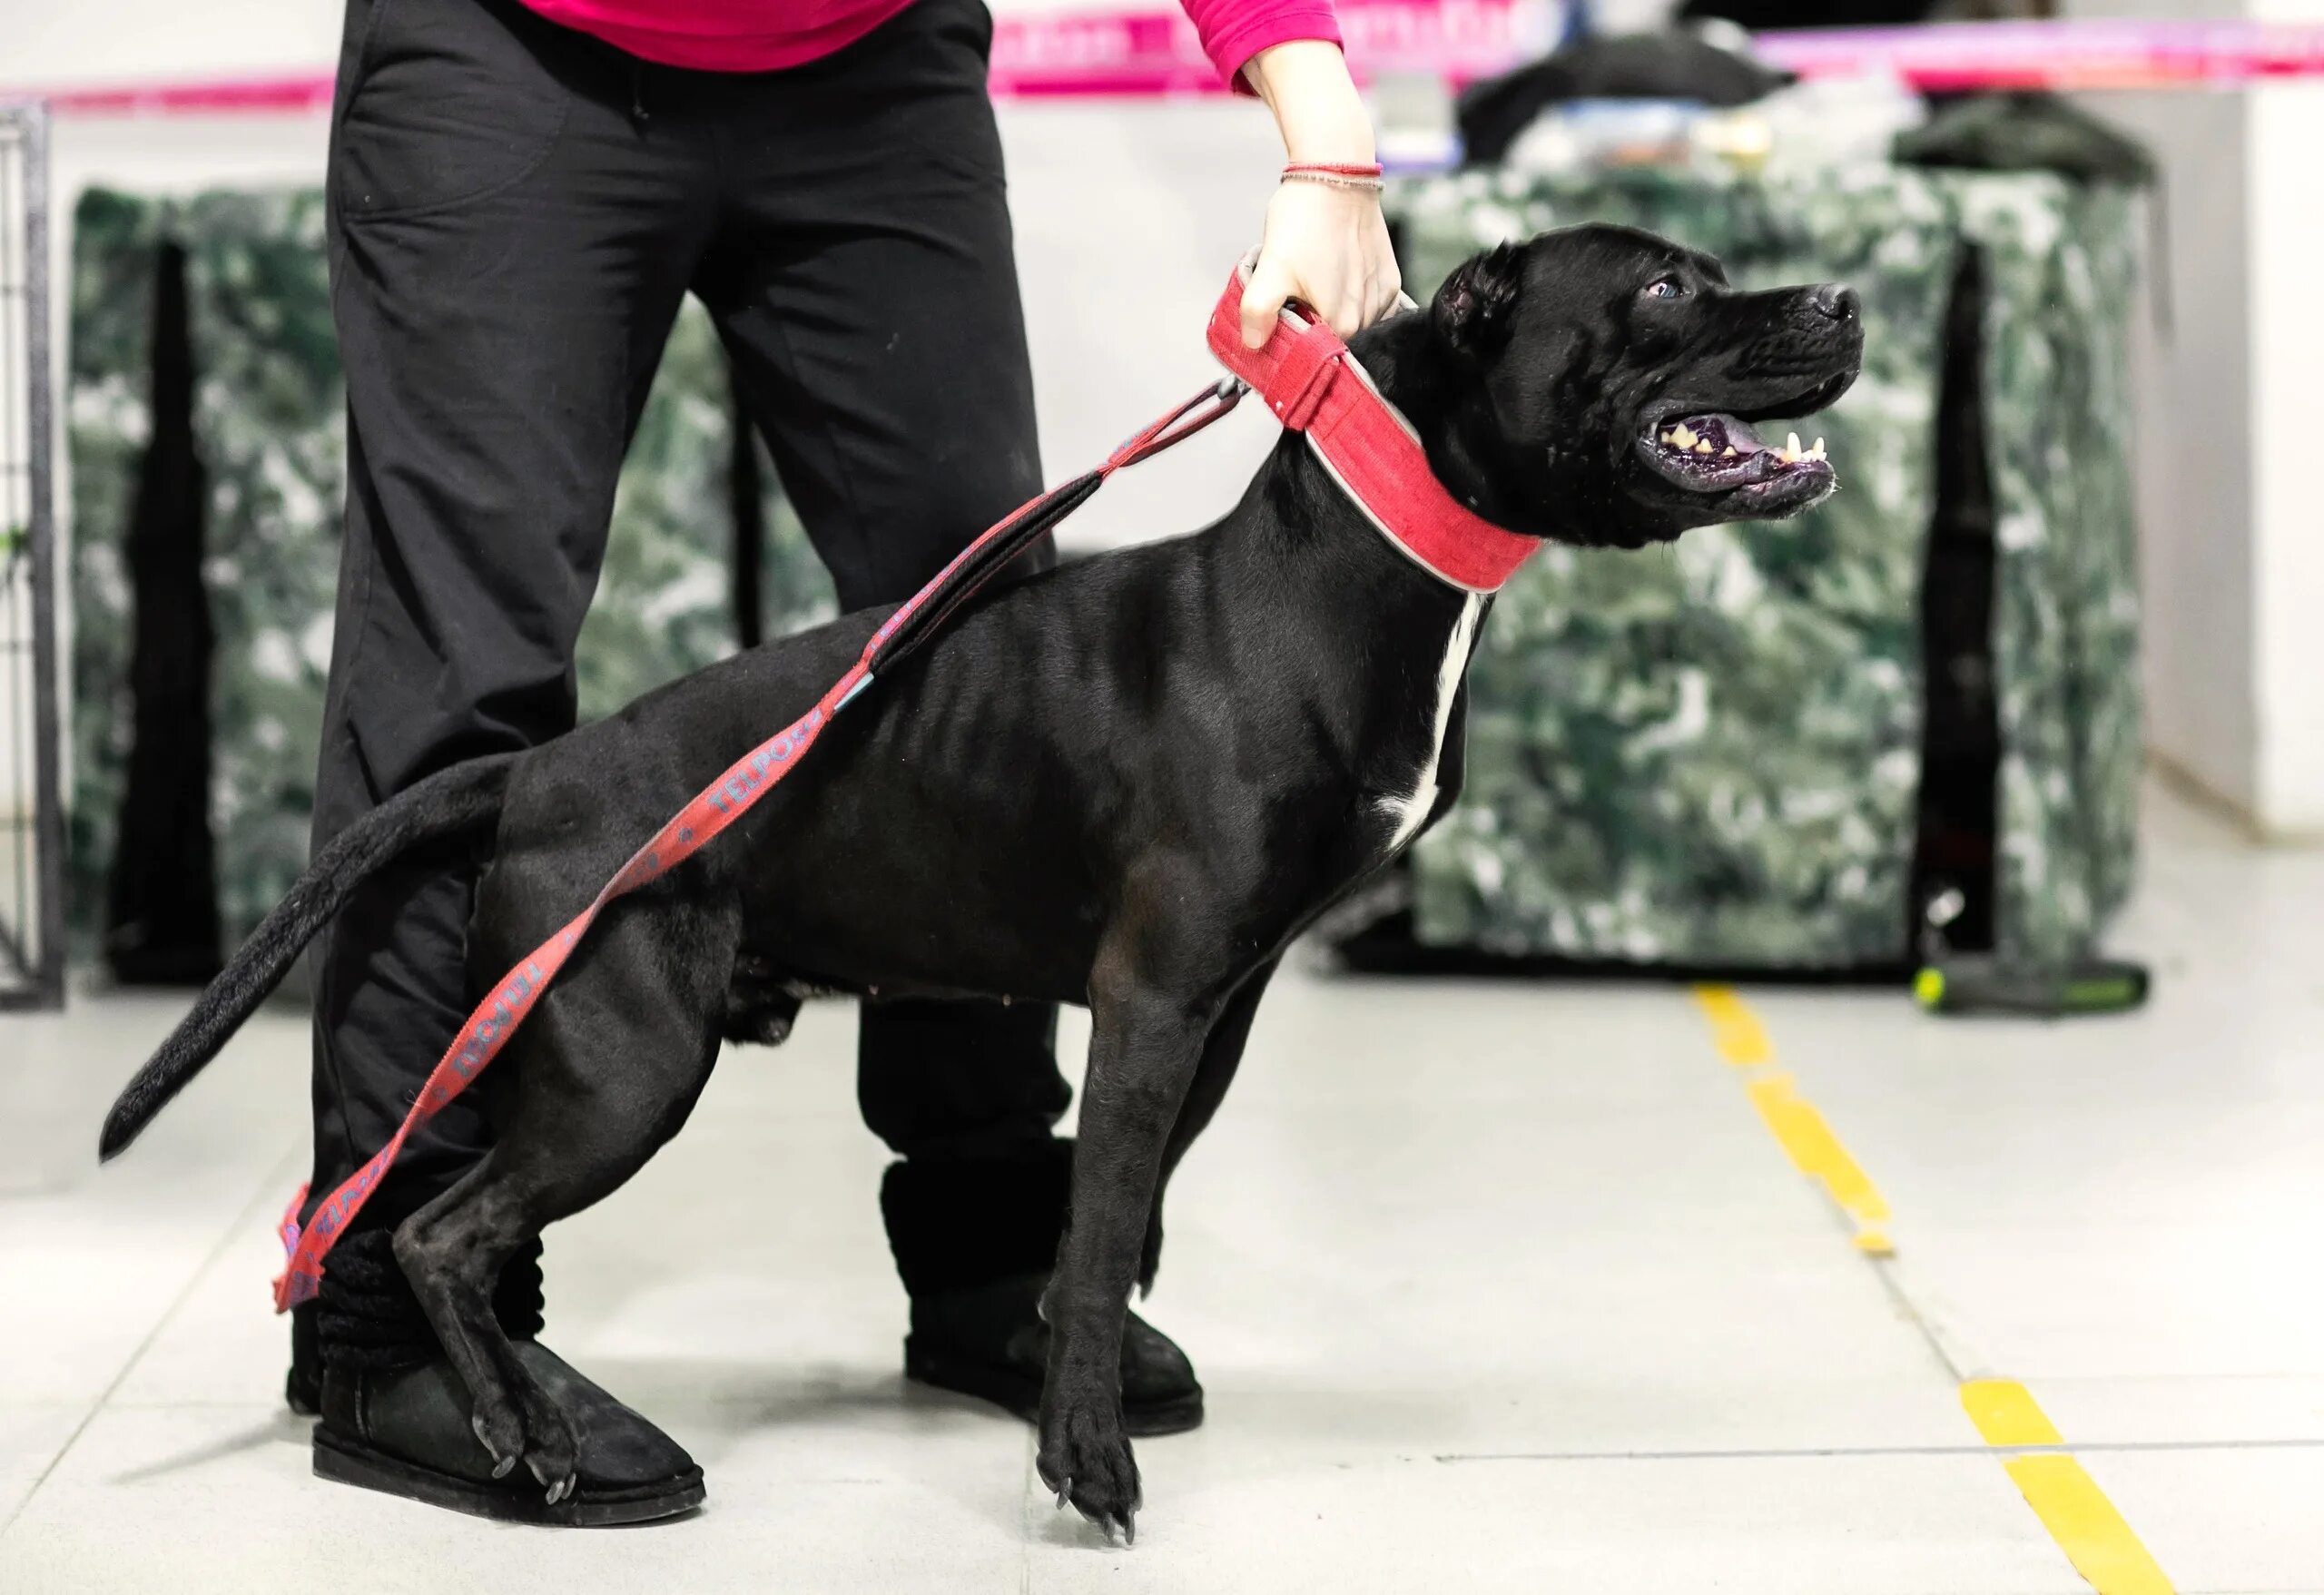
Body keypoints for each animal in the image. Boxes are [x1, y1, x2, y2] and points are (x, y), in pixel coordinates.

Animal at [100, 222, 1859, 1534]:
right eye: (1666, 289)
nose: (1845, 299)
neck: (1358, 571)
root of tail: (541, 770)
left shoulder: (1214, 1013)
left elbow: (1108, 1221)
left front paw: (1061, 1368)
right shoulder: (1149, 1003)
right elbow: (1097, 1233)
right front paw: (1082, 1462)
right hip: (621, 1066)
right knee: (432, 1232)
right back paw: (514, 1430)